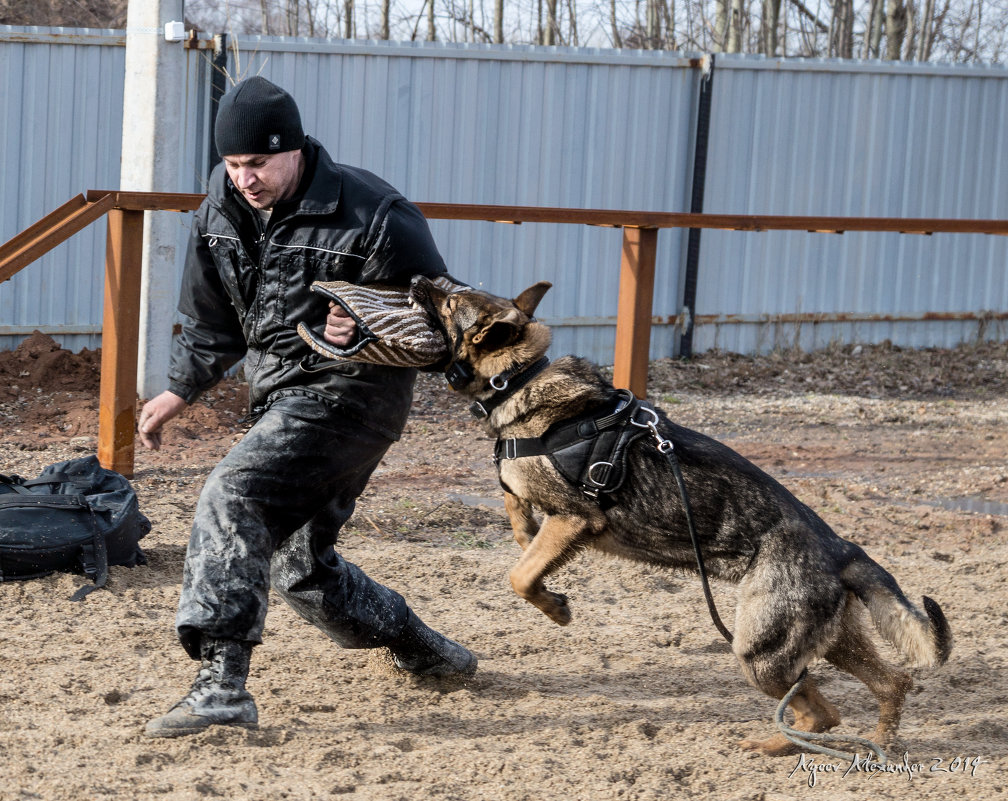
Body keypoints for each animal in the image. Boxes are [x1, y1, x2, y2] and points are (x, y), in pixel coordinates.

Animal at [409, 272, 951, 753]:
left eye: (452, 301)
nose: (418, 277)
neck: (518, 377)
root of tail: (841, 548)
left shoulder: (575, 519)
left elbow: (520, 576)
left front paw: (556, 606)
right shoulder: (542, 508)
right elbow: (519, 519)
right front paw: (529, 542)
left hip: (759, 649)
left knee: (825, 709)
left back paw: (786, 746)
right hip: (825, 643)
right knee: (884, 687)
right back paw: (864, 747)